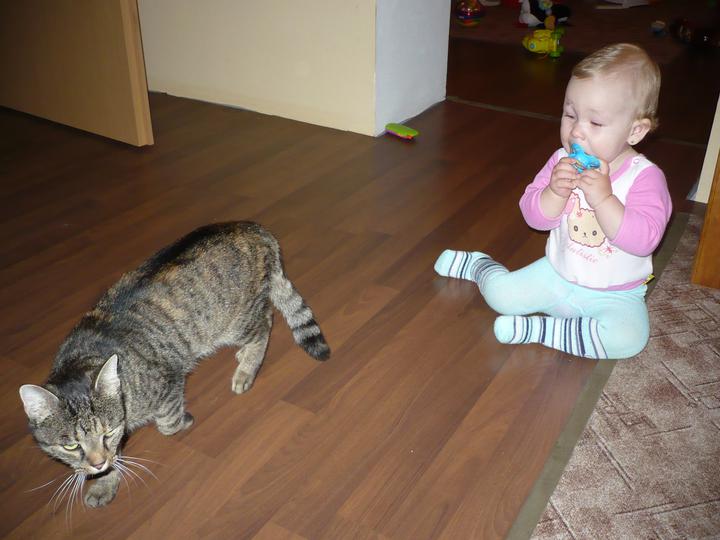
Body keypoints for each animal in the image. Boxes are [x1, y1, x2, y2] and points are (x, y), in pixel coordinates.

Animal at [19, 221, 330, 508]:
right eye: (70, 445)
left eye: (106, 433)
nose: (96, 463)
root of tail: (252, 226)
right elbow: (113, 460)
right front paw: (103, 482)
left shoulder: (168, 382)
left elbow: (167, 424)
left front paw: (182, 421)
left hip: (235, 322)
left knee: (265, 321)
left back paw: (246, 369)